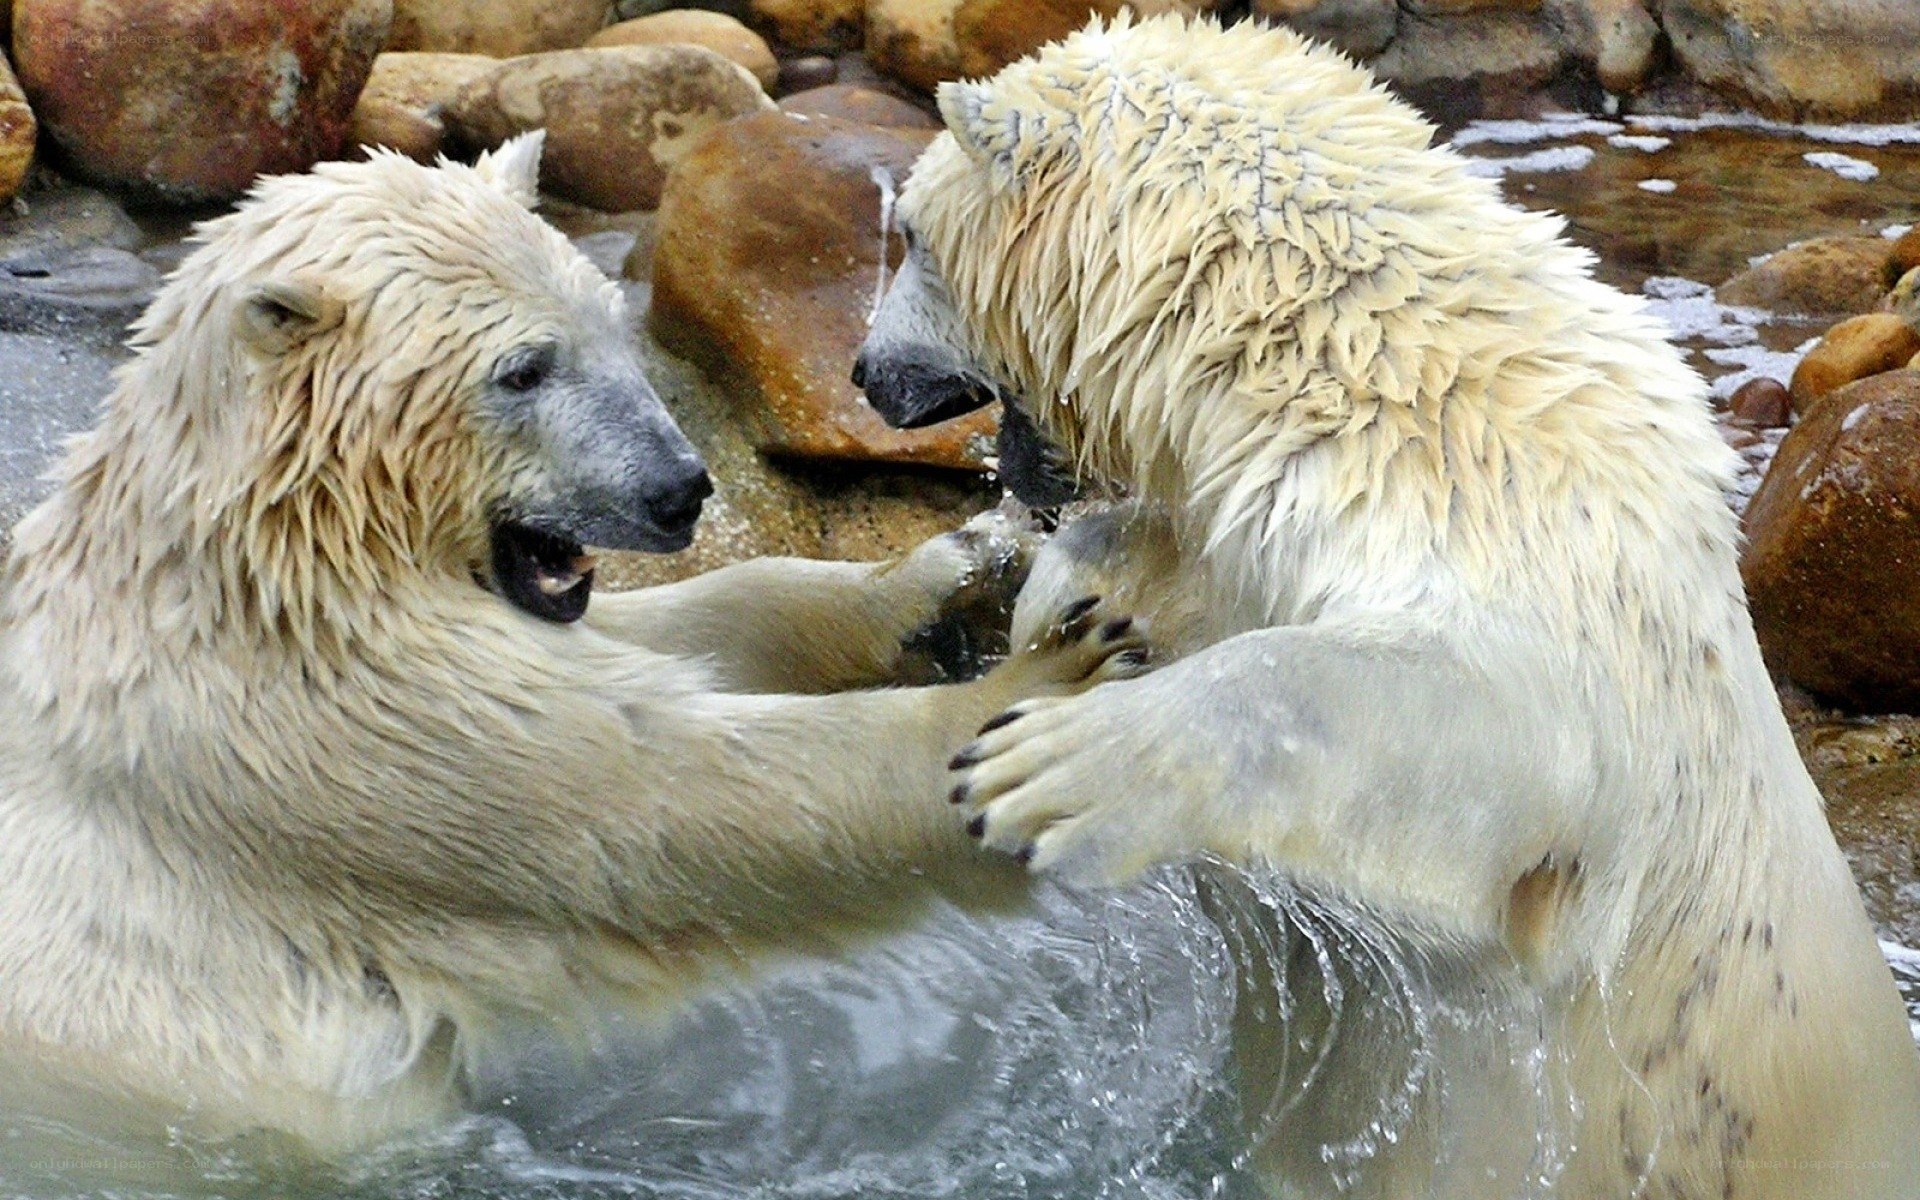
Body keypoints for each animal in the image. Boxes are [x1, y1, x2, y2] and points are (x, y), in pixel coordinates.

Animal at [0, 133, 1148, 1183]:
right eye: (523, 369)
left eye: (606, 325)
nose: (679, 489)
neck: (265, 552)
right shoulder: (318, 720)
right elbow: (662, 798)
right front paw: (1042, 702)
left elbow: (679, 635)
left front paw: (951, 576)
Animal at [854, 16, 1920, 1199]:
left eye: (910, 234)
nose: (866, 373)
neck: (1362, 368)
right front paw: (1073, 601)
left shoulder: (1529, 540)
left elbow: (1449, 716)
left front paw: (1042, 770)